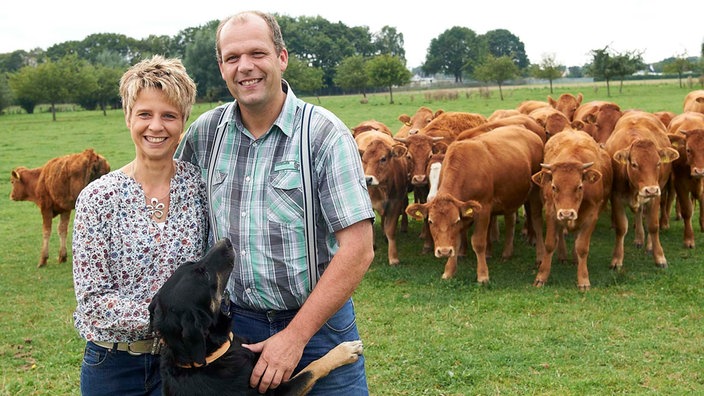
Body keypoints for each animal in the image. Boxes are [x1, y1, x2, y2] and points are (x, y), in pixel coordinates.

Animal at [151, 238, 366, 396]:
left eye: (191, 263)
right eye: (202, 274)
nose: (226, 241)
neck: (212, 355)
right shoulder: (278, 392)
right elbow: (311, 369)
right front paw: (344, 351)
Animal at [402, 125, 544, 284]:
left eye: (455, 221)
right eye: (431, 222)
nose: (444, 251)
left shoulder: (483, 210)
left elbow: (478, 242)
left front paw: (482, 275)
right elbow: (456, 242)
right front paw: (449, 271)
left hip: (535, 194)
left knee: (537, 222)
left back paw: (540, 256)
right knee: (510, 221)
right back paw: (507, 253)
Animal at [532, 130, 612, 290]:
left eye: (580, 186)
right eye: (554, 187)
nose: (566, 213)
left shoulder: (591, 216)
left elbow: (582, 247)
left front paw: (583, 280)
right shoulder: (551, 212)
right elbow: (550, 244)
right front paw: (541, 277)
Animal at [604, 110, 680, 268]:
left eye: (658, 163)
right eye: (634, 164)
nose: (650, 190)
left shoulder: (656, 196)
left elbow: (653, 225)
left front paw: (659, 257)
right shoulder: (616, 197)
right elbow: (621, 228)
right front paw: (617, 259)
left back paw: (649, 245)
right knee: (638, 212)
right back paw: (639, 238)